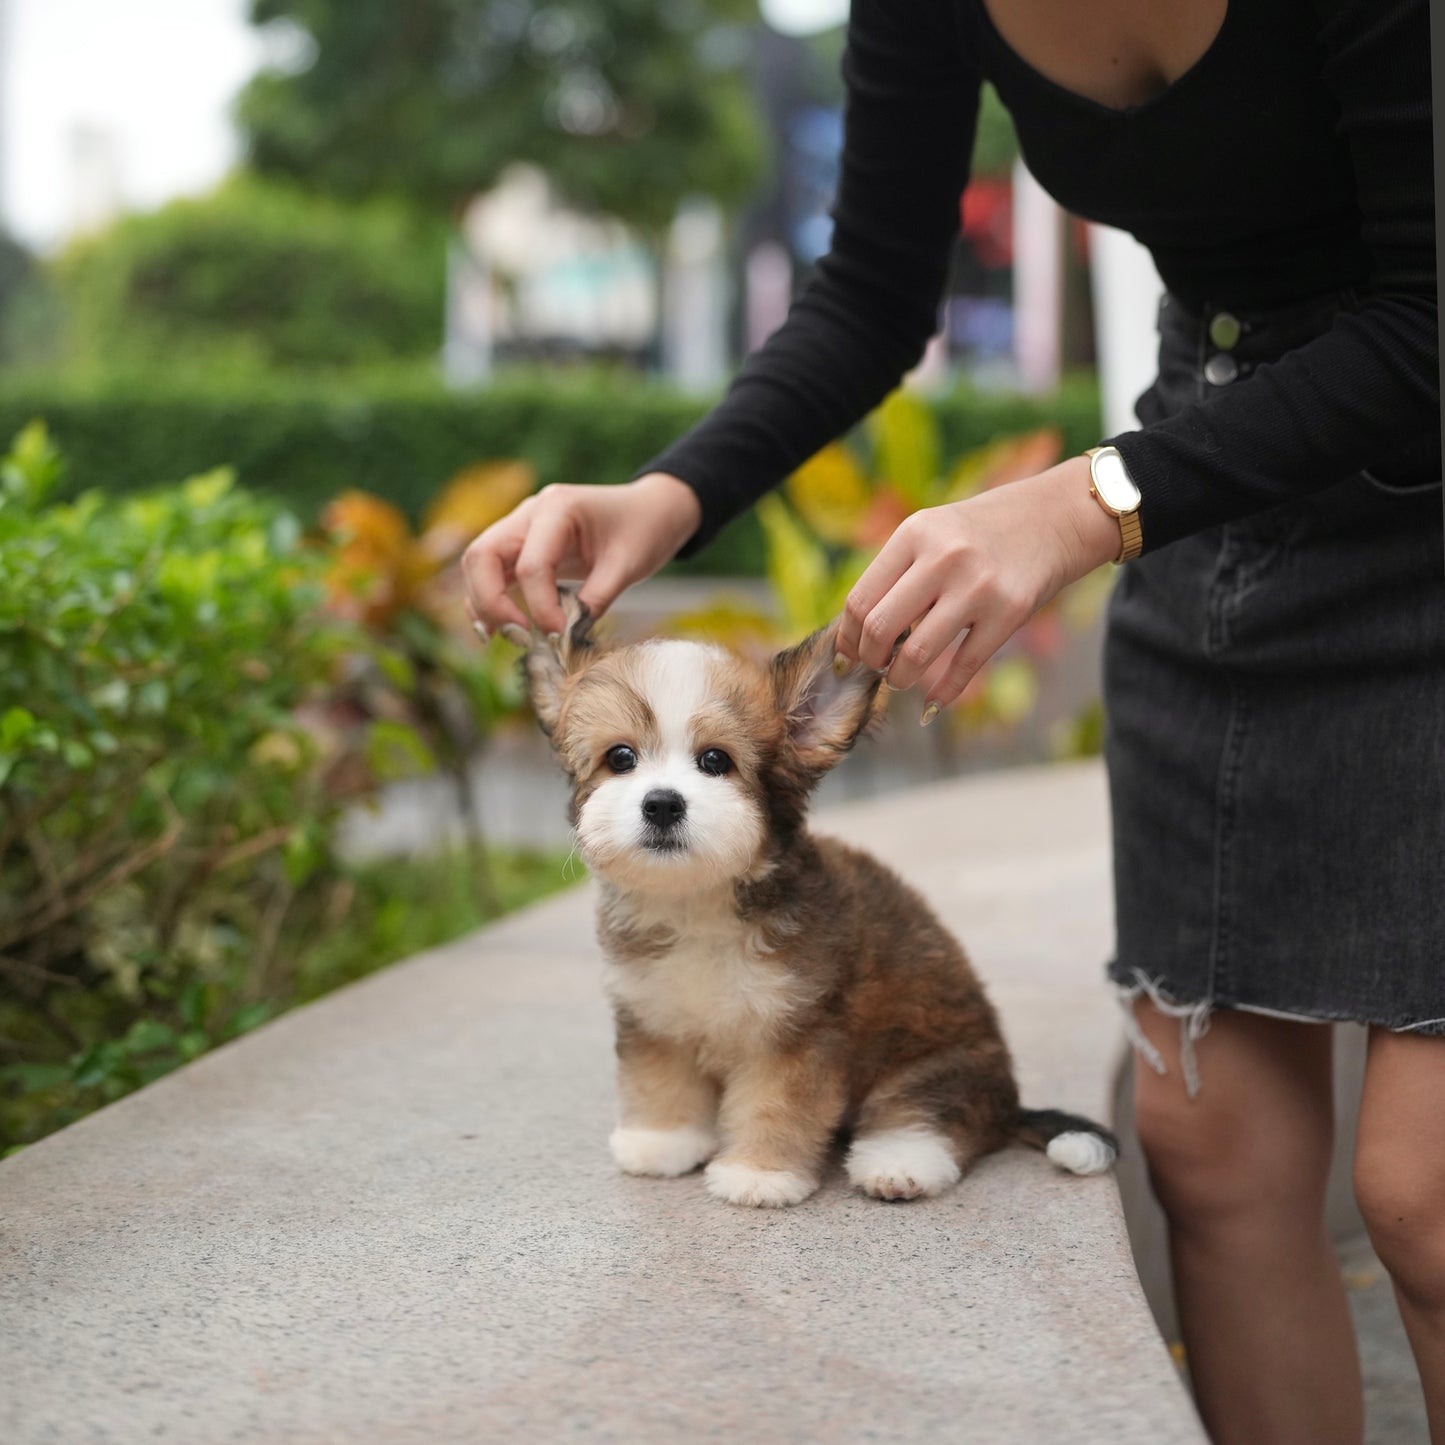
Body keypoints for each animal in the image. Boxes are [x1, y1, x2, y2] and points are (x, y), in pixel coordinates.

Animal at [523, 598, 1115, 1208]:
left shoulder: (797, 1033)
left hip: (939, 1067)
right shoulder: (655, 1016)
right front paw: (663, 1141)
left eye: (715, 761)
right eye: (620, 758)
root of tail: (1009, 1104)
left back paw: (899, 1164)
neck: (701, 899)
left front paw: (760, 1173)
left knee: (927, 1115)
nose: (662, 804)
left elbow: (776, 1105)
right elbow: (662, 1079)